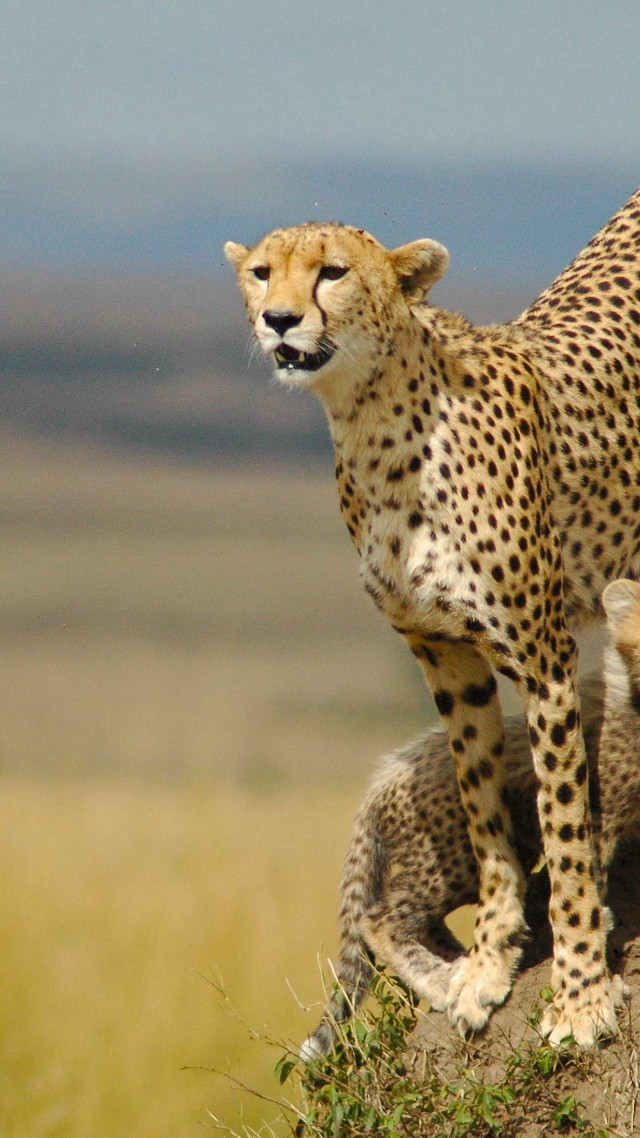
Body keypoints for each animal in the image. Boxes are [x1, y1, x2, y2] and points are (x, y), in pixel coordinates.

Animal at [300, 577, 640, 1059]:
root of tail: (383, 775)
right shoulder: (599, 816)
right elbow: (584, 890)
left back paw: (471, 964)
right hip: (453, 858)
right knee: (379, 919)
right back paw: (446, 982)